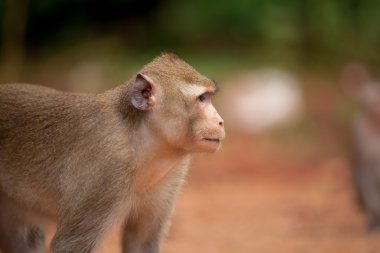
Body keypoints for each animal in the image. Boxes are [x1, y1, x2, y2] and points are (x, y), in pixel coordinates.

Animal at [0, 52, 226, 252]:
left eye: (207, 97)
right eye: (202, 98)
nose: (220, 121)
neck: (140, 138)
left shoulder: (173, 170)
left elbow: (141, 242)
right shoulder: (106, 168)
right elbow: (70, 245)